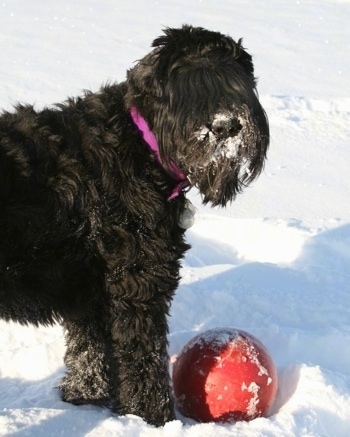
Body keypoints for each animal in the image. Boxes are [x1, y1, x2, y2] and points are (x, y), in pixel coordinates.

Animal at [0, 25, 268, 424]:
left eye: (236, 83)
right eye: (186, 87)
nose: (225, 126)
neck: (141, 146)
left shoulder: (92, 295)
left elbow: (89, 352)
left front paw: (85, 399)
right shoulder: (138, 282)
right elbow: (144, 358)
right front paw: (154, 418)